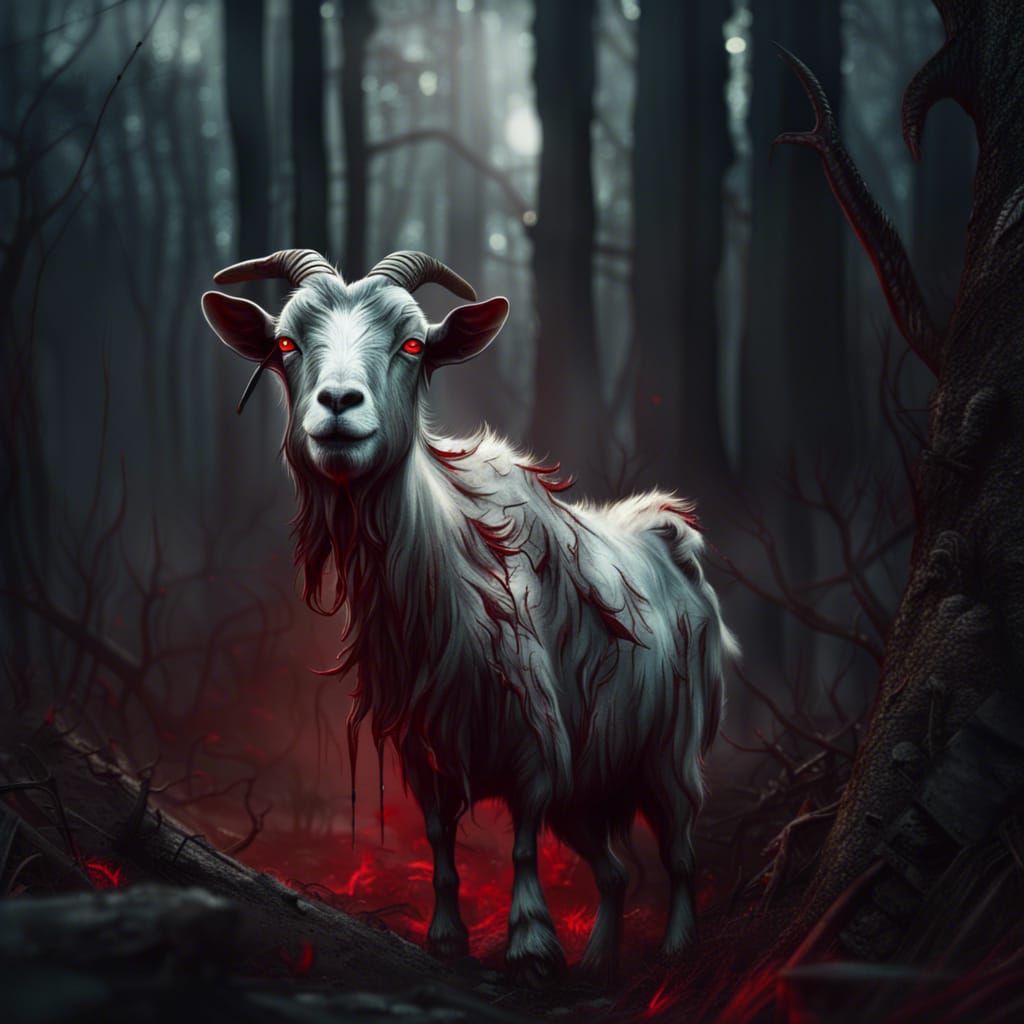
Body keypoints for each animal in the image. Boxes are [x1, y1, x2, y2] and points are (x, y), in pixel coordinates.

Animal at [202, 248, 736, 984]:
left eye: (413, 345)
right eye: (285, 345)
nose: (338, 405)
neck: (443, 579)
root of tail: (671, 537)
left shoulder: (537, 740)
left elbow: (521, 843)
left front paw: (531, 944)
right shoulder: (423, 746)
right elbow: (439, 843)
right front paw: (448, 938)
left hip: (669, 752)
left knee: (681, 853)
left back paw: (678, 946)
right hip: (590, 785)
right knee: (615, 871)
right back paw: (599, 957)